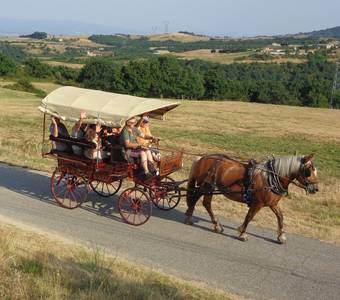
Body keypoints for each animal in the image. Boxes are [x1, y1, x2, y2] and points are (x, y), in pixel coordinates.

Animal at [185, 154, 318, 243]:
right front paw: (242, 233)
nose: (316, 188)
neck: (271, 177)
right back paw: (209, 222)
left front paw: (281, 236)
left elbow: (280, 217)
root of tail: (201, 158)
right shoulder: (257, 203)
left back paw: (194, 217)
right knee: (203, 202)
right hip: (207, 187)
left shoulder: (272, 204)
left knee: (198, 200)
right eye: (308, 171)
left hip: (207, 187)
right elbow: (249, 216)